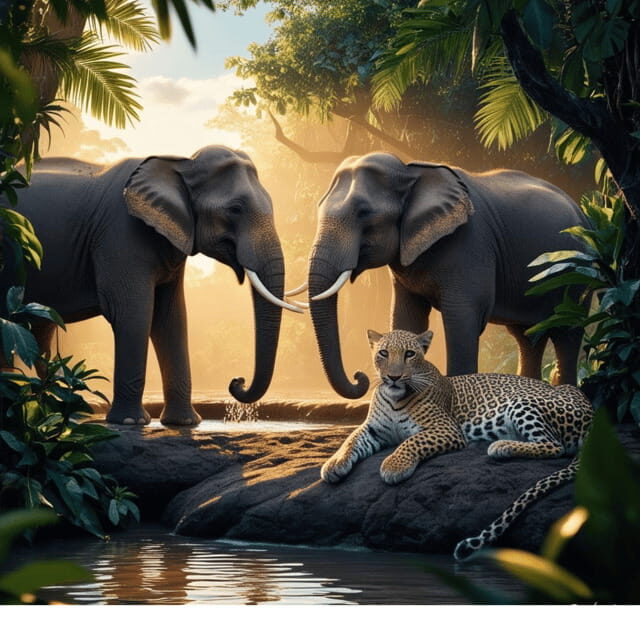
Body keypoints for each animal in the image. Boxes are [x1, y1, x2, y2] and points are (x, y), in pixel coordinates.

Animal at [0, 146, 301, 424]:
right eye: (235, 209)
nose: (237, 381)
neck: (182, 163)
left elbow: (171, 317)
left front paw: (184, 423)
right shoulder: (121, 234)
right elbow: (134, 313)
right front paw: (130, 422)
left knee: (39, 328)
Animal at [291, 152, 587, 399]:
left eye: (364, 213)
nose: (359, 377)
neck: (411, 171)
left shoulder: (471, 245)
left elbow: (463, 319)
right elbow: (407, 317)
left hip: (578, 272)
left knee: (567, 333)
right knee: (527, 335)